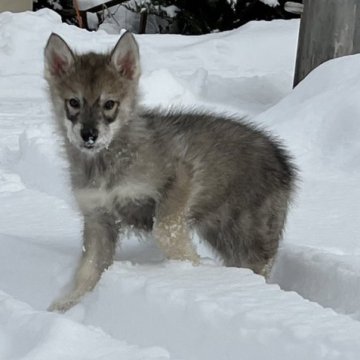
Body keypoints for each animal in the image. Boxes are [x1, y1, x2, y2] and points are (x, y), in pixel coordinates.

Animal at [43, 31, 296, 312]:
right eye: (73, 102)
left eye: (109, 104)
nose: (89, 135)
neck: (107, 161)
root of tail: (282, 159)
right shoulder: (98, 217)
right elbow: (89, 269)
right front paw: (68, 302)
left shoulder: (180, 178)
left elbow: (164, 230)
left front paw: (190, 265)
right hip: (220, 231)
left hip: (251, 233)